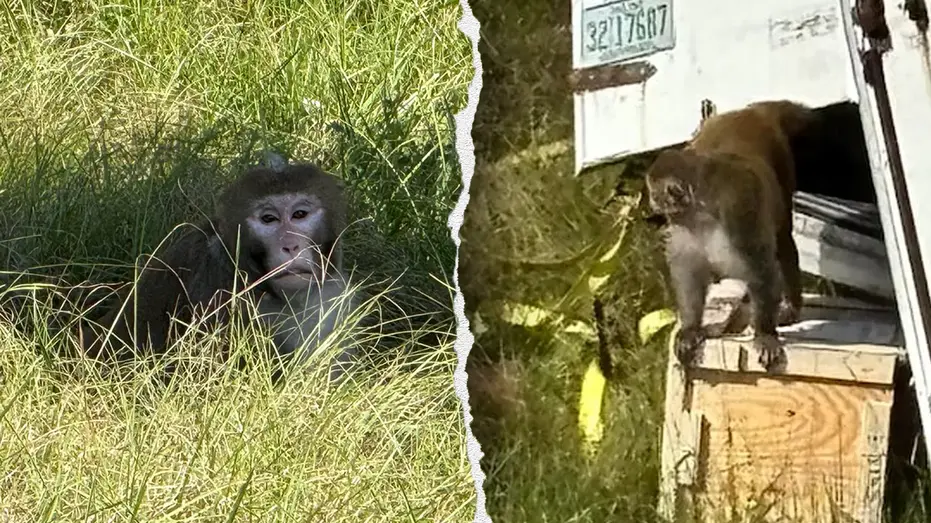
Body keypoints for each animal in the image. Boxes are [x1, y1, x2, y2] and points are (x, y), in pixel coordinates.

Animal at [645, 100, 816, 371]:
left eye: (654, 194)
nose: (651, 203)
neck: (701, 210)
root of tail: (749, 112)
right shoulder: (684, 228)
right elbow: (689, 272)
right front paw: (691, 328)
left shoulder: (738, 210)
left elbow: (760, 268)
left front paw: (765, 334)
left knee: (782, 241)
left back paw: (791, 305)